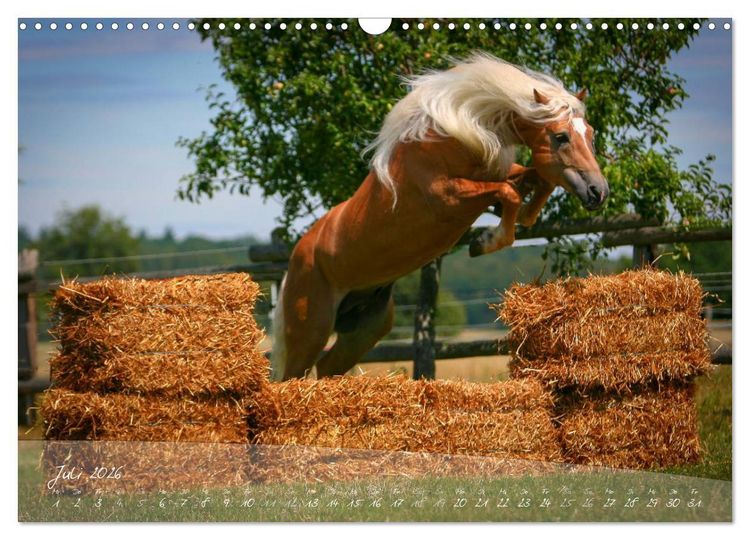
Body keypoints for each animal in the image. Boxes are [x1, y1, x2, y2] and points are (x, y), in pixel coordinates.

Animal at [271, 53, 609, 381]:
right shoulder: (449, 198)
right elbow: (509, 193)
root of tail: (292, 265)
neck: (455, 135)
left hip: (366, 327)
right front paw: (485, 242)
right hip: (310, 332)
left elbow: (537, 182)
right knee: (293, 376)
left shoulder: (500, 175)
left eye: (590, 134)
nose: (599, 191)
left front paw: (516, 218)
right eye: (561, 137)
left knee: (328, 366)